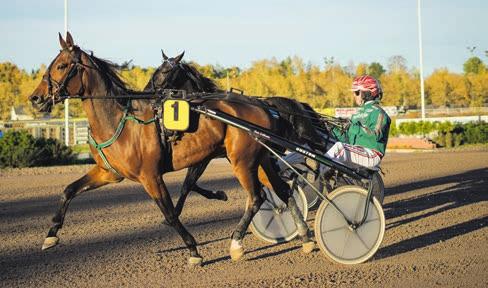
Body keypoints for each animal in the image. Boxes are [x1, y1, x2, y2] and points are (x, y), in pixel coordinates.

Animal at [145, 51, 328, 218]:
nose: (147, 91)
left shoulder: (205, 157)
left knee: (318, 149)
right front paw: (218, 194)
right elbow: (190, 184)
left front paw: (177, 211)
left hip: (298, 139)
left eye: (165, 71)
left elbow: (187, 184)